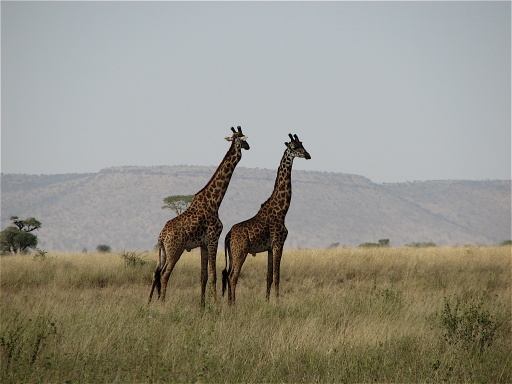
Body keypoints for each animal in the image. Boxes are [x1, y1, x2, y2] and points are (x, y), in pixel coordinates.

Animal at [148, 127, 250, 308]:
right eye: (243, 139)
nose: (249, 147)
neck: (215, 201)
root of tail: (161, 236)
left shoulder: (203, 244)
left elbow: (203, 276)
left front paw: (202, 305)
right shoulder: (213, 239)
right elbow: (213, 275)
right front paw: (215, 304)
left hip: (163, 251)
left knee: (155, 273)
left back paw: (148, 302)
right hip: (175, 249)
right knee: (165, 273)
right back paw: (162, 303)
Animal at [221, 134, 310, 304]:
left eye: (302, 144)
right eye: (294, 147)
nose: (308, 155)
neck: (282, 210)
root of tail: (228, 236)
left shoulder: (269, 248)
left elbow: (268, 277)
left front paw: (267, 301)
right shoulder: (278, 243)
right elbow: (277, 276)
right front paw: (278, 303)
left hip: (232, 253)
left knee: (228, 275)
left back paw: (229, 304)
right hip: (240, 252)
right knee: (233, 276)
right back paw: (233, 305)